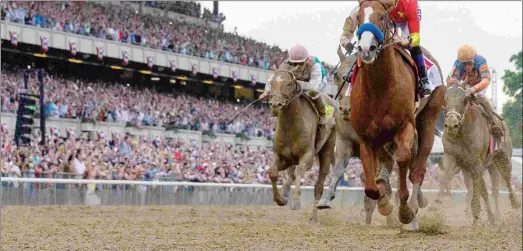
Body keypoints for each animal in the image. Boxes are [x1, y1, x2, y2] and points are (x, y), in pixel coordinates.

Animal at [266, 63, 340, 223]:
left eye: (288, 84)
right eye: (272, 83)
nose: (275, 105)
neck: (291, 125)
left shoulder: (308, 155)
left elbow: (300, 171)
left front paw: (296, 201)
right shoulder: (281, 155)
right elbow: (273, 172)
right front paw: (281, 199)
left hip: (327, 150)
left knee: (318, 186)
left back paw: (314, 217)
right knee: (291, 175)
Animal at [350, 0, 444, 227]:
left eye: (383, 16)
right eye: (358, 17)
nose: (366, 48)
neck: (380, 87)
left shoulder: (405, 126)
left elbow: (403, 157)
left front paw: (405, 211)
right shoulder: (366, 136)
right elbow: (371, 185)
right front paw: (384, 202)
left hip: (428, 118)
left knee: (417, 169)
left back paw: (414, 208)